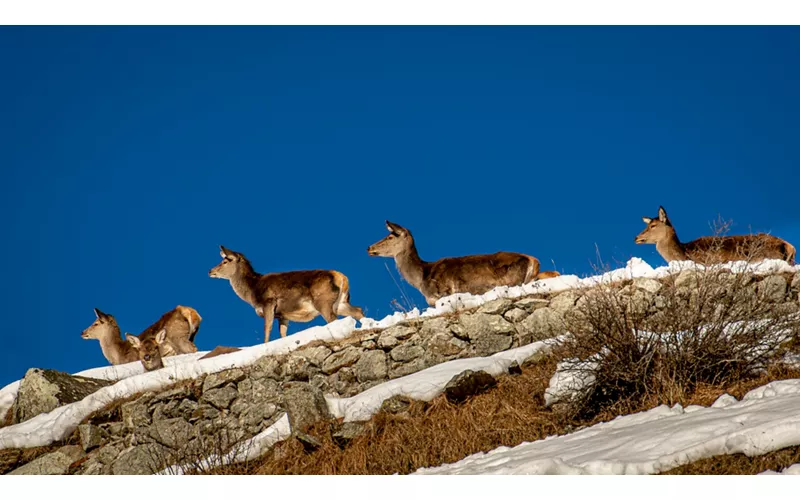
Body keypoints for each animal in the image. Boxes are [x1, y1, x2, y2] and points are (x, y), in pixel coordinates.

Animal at [209, 246, 366, 344]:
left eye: (225, 261)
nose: (210, 271)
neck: (252, 291)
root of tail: (341, 277)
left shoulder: (269, 303)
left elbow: (267, 329)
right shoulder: (283, 315)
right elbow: (283, 334)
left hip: (324, 302)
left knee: (334, 320)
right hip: (341, 303)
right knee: (358, 310)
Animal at [366, 221, 560, 306]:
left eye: (390, 236)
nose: (369, 247)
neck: (421, 279)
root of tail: (532, 259)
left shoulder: (441, 295)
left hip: (514, 280)